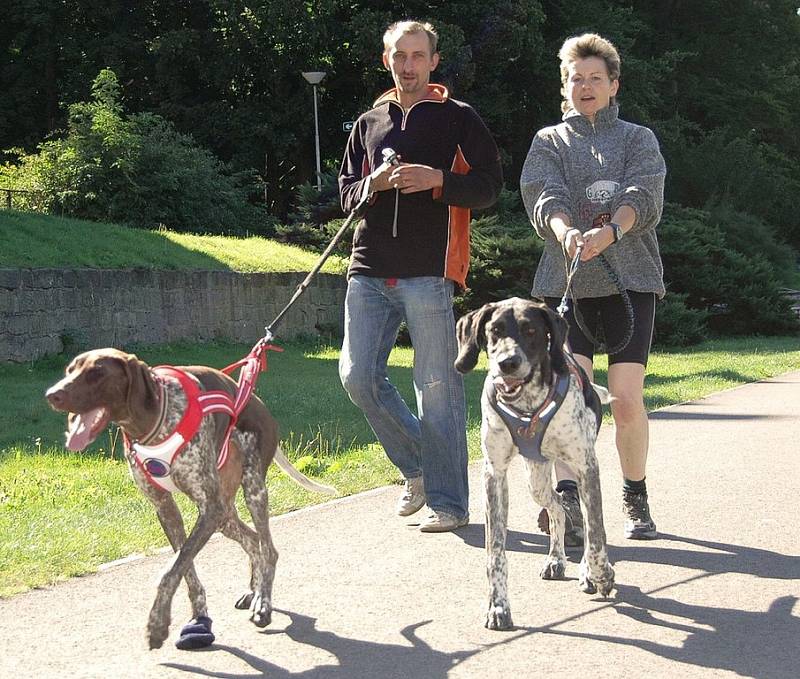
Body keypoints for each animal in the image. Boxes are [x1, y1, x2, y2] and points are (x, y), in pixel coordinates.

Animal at [47, 348, 334, 652]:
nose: (52, 395)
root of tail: (259, 403)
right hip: (225, 514)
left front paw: (157, 624)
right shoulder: (167, 509)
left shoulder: (208, 509)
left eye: (97, 372)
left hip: (252, 491)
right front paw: (198, 619)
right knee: (253, 541)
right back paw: (252, 591)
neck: (153, 423)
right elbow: (185, 569)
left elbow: (171, 570)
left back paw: (263, 603)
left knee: (268, 548)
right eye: (69, 370)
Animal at [454, 300, 616, 628]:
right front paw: (498, 606)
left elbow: (596, 534)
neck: (527, 405)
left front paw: (600, 574)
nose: (508, 363)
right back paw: (555, 559)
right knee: (557, 507)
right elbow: (495, 551)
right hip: (536, 481)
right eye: (494, 330)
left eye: (531, 331)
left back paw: (585, 572)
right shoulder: (494, 474)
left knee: (582, 519)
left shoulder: (587, 467)